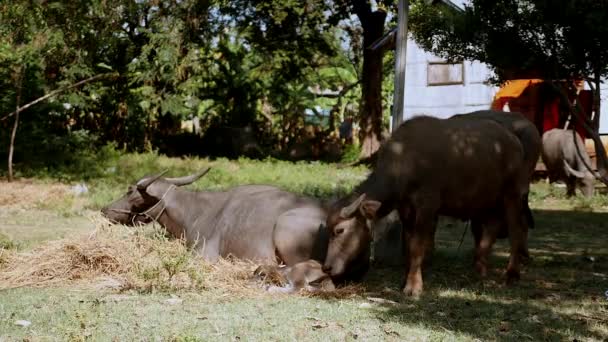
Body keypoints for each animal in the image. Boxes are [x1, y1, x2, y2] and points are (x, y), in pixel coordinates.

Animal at [324, 113, 528, 296]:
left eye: (339, 230)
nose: (327, 267)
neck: (404, 161)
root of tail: (514, 140)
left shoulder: (427, 207)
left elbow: (417, 246)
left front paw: (413, 286)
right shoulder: (406, 209)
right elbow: (408, 245)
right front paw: (405, 280)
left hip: (513, 193)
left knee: (516, 230)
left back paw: (512, 274)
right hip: (487, 200)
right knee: (492, 227)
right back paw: (480, 268)